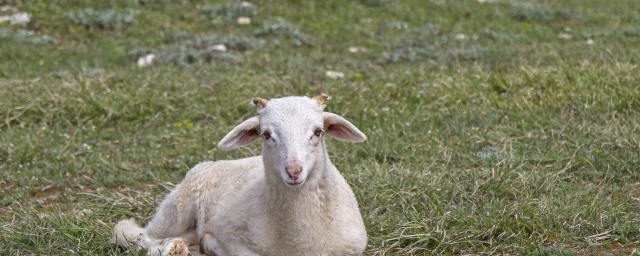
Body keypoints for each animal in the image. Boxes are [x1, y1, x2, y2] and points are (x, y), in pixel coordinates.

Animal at [112, 94, 368, 256]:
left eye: (318, 131)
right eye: (266, 134)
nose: (294, 171)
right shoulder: (231, 236)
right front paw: (209, 245)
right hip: (177, 208)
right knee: (140, 236)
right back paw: (172, 248)